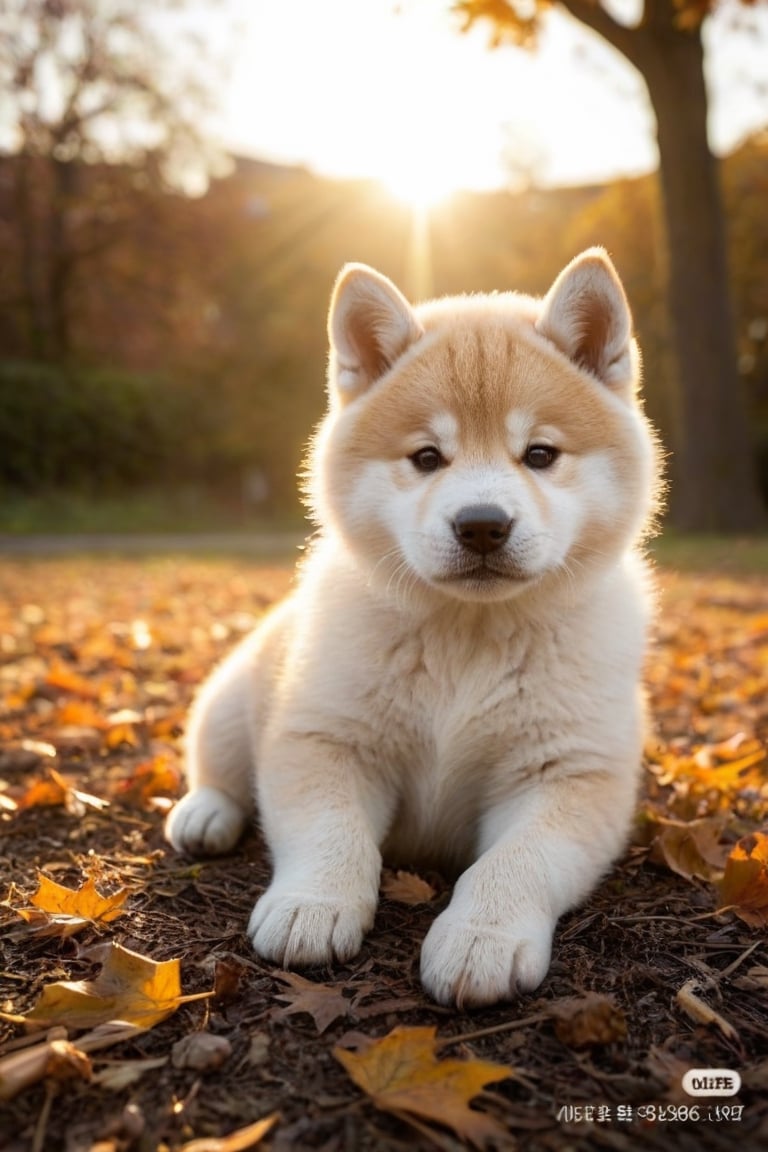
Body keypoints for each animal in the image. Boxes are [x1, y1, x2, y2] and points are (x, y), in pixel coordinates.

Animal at [166, 249, 663, 1009]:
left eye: (540, 455)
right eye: (427, 457)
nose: (483, 524)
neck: (469, 638)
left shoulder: (570, 774)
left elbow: (516, 861)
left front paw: (482, 936)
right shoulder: (326, 740)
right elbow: (333, 834)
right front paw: (314, 903)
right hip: (233, 697)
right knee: (217, 767)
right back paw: (204, 816)